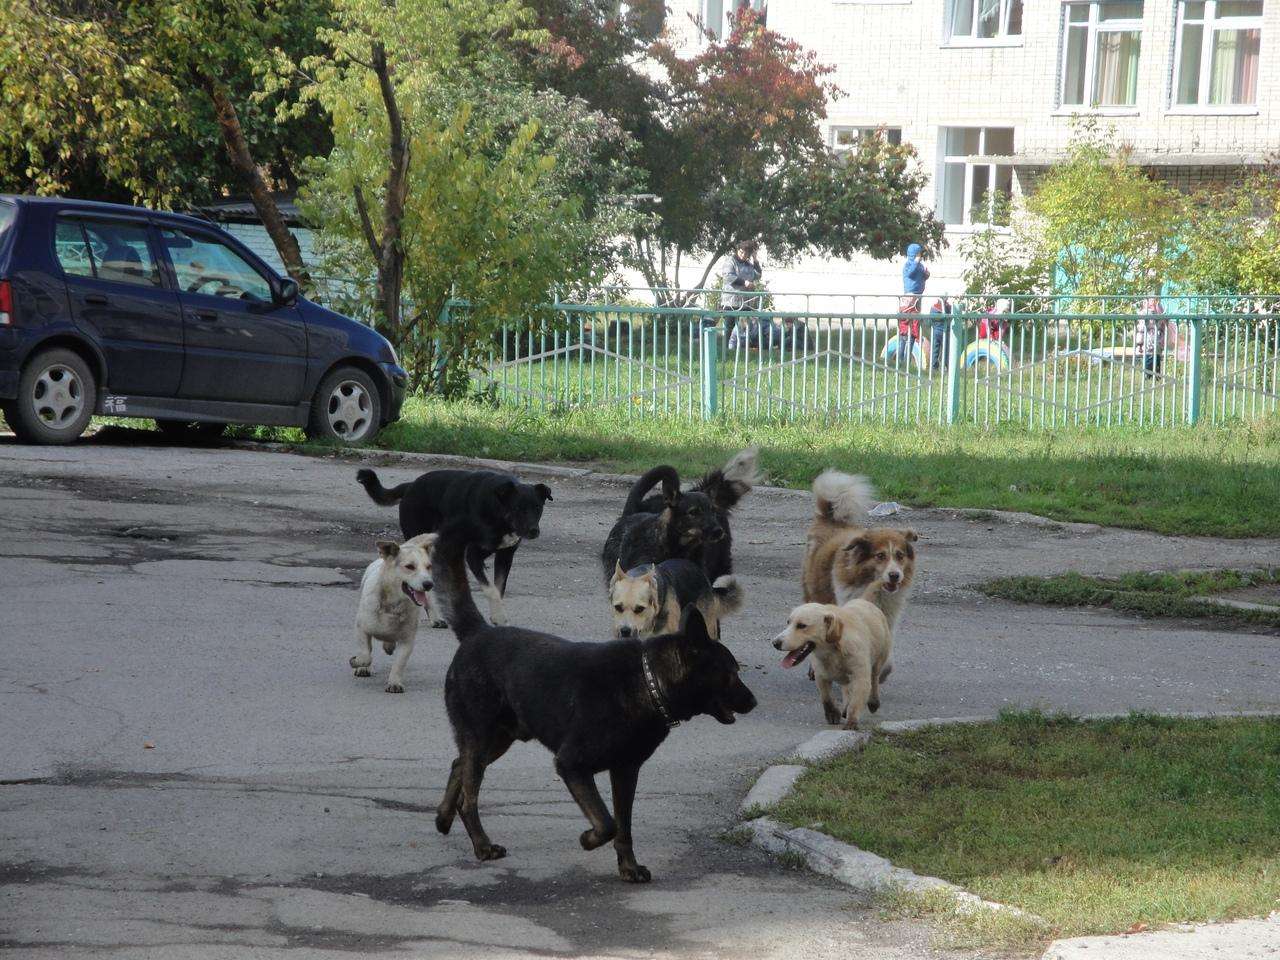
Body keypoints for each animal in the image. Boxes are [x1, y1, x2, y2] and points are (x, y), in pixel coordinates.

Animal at [350, 535, 440, 701]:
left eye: (429, 566)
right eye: (410, 566)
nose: (429, 584)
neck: (392, 606)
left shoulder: (407, 641)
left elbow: (399, 663)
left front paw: (394, 682)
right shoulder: (361, 629)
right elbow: (365, 655)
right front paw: (357, 662)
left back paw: (388, 646)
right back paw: (364, 667)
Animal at [355, 468, 550, 632]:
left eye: (538, 508)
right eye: (517, 508)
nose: (534, 531)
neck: (498, 513)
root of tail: (411, 486)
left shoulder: (505, 555)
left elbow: (499, 588)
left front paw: (498, 617)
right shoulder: (473, 555)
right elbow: (491, 590)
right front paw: (500, 618)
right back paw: (435, 618)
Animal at [430, 522, 752, 885]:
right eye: (730, 674)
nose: (753, 701)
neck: (647, 680)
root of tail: (478, 632)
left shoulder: (625, 772)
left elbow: (623, 826)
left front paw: (628, 867)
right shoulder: (572, 765)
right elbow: (607, 822)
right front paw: (589, 839)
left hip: (498, 739)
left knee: (458, 764)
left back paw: (444, 818)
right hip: (483, 735)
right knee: (469, 795)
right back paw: (482, 845)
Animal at [768, 586, 890, 727]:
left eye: (802, 625)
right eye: (788, 622)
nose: (775, 643)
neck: (832, 652)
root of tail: (864, 601)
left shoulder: (861, 678)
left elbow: (856, 703)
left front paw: (851, 722)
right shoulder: (821, 676)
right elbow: (826, 698)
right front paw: (832, 714)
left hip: (879, 660)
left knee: (874, 678)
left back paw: (873, 701)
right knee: (846, 689)